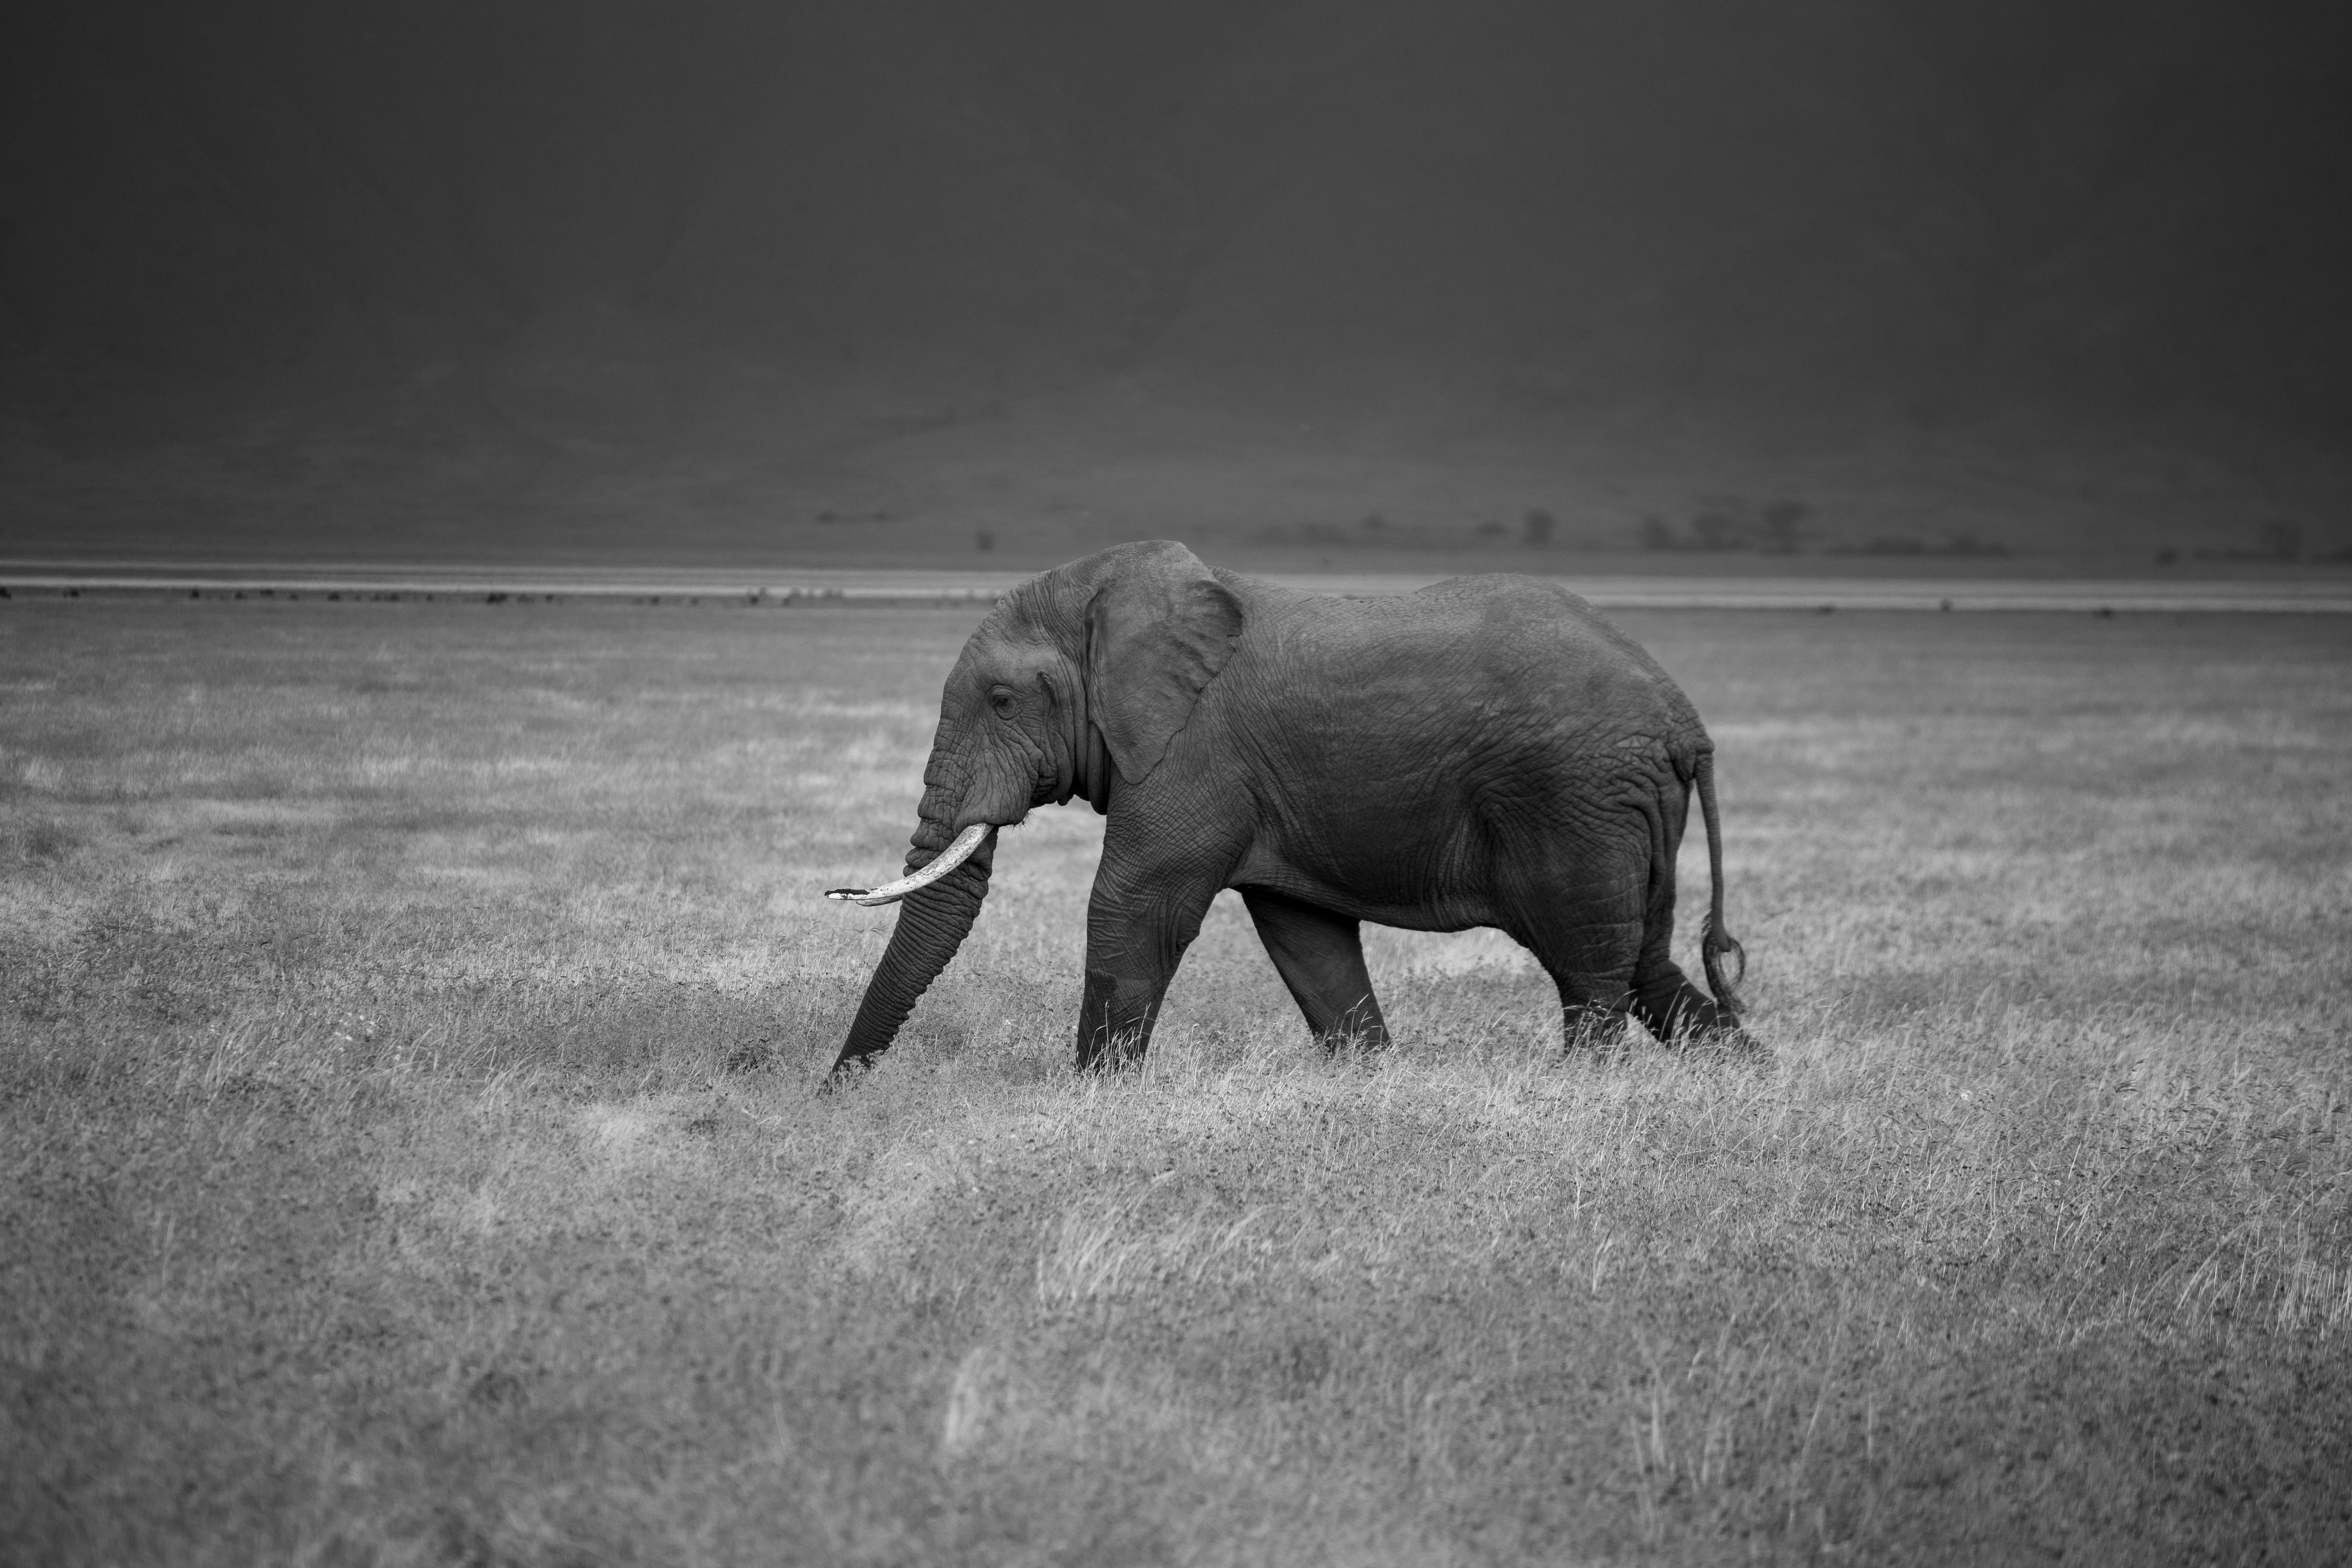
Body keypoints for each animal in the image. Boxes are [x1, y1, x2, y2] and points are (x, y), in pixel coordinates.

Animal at [822, 539, 1746, 1083]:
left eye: (1003, 700)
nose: (836, 1089)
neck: (1118, 594)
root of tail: (1684, 717)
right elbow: (1306, 937)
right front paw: (1371, 1080)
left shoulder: (1193, 749)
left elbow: (1135, 907)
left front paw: (1091, 1097)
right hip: (1621, 807)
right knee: (1645, 965)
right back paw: (1746, 1077)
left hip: (1573, 800)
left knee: (1590, 971)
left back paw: (1585, 1092)